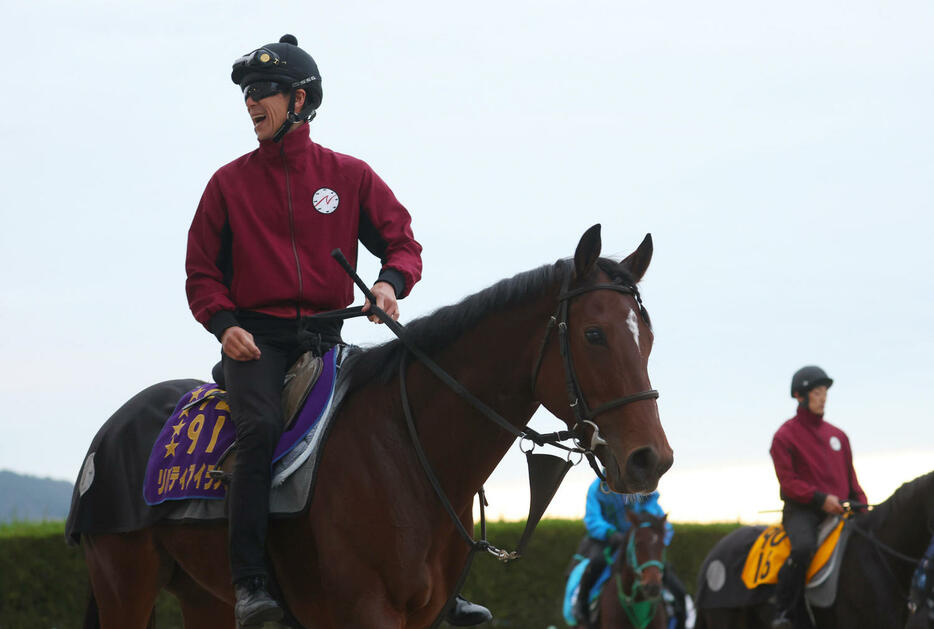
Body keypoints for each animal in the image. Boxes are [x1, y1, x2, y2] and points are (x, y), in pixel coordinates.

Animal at [78, 227, 672, 628]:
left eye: (647, 337)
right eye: (593, 334)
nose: (651, 459)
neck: (408, 454)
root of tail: (109, 434)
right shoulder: (367, 612)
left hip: (205, 597)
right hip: (124, 585)